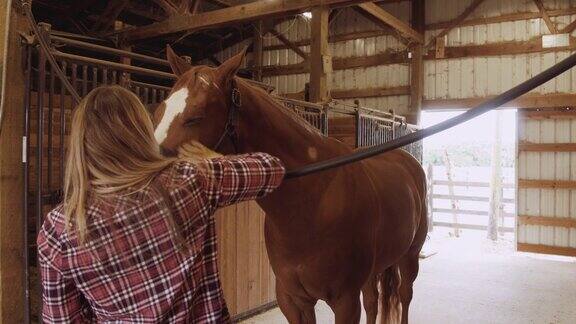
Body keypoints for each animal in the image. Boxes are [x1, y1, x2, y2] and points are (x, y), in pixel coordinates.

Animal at [154, 46, 428, 324]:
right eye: (158, 111)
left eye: (195, 117)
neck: (312, 202)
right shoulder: (293, 300)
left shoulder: (345, 302)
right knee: (373, 300)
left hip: (409, 256)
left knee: (404, 295)